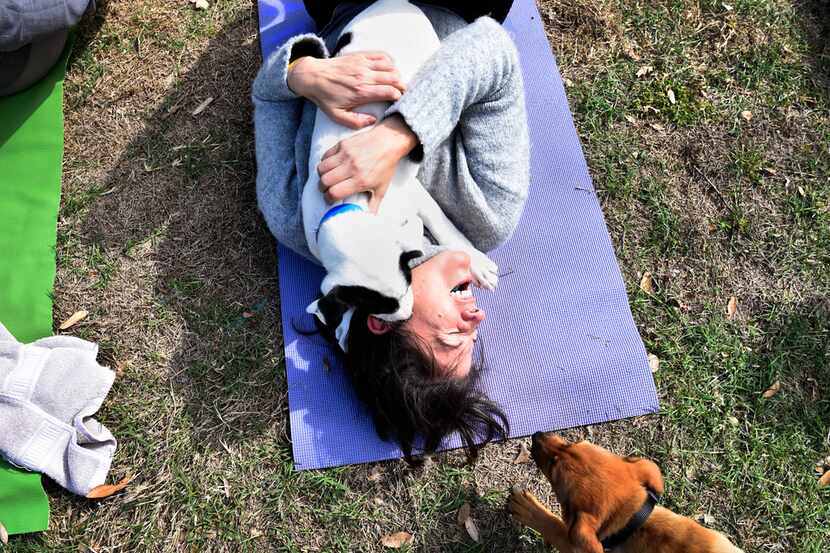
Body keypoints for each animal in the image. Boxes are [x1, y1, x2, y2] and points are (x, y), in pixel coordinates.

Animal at [306, 0, 500, 332]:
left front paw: (476, 261)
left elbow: (444, 226)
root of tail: (392, 3)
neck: (349, 204)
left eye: (408, 282)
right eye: (380, 307)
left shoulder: (414, 193)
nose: (407, 315)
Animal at [510, 434, 744, 548]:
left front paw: (528, 509)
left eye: (552, 466)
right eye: (572, 442)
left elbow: (557, 529)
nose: (535, 435)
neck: (635, 521)